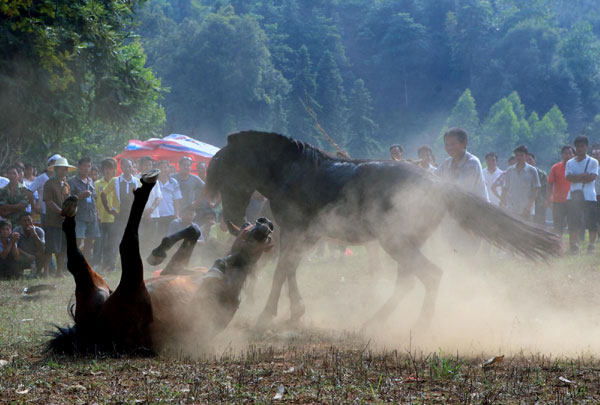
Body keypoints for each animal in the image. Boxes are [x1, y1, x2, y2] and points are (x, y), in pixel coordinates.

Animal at [47, 170, 274, 354]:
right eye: (245, 225)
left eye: (265, 237)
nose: (266, 222)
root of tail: (90, 334)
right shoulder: (177, 269)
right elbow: (193, 231)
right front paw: (159, 251)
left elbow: (228, 260)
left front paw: (220, 266)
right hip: (98, 289)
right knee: (77, 260)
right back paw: (71, 208)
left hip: (132, 288)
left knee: (125, 244)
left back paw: (145, 185)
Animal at [206, 132, 564, 328]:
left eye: (225, 173)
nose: (232, 222)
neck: (294, 171)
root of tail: (438, 185)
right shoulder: (304, 235)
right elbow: (289, 269)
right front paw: (295, 311)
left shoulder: (295, 232)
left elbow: (282, 270)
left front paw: (268, 315)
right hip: (404, 245)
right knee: (409, 281)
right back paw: (376, 321)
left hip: (397, 243)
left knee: (430, 276)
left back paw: (418, 325)